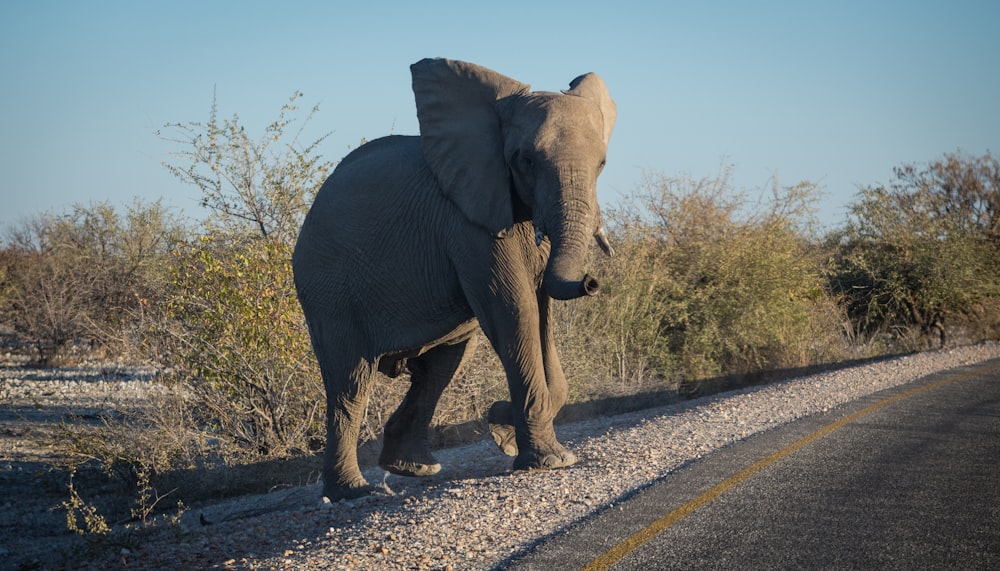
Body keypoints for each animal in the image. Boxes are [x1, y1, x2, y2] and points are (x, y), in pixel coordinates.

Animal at [292, 58, 612, 500]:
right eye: (526, 161)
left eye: (601, 165)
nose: (592, 282)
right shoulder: (466, 222)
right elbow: (516, 310)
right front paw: (548, 461)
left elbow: (542, 314)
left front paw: (502, 429)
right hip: (326, 289)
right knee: (350, 382)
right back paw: (354, 491)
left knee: (443, 364)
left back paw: (413, 468)